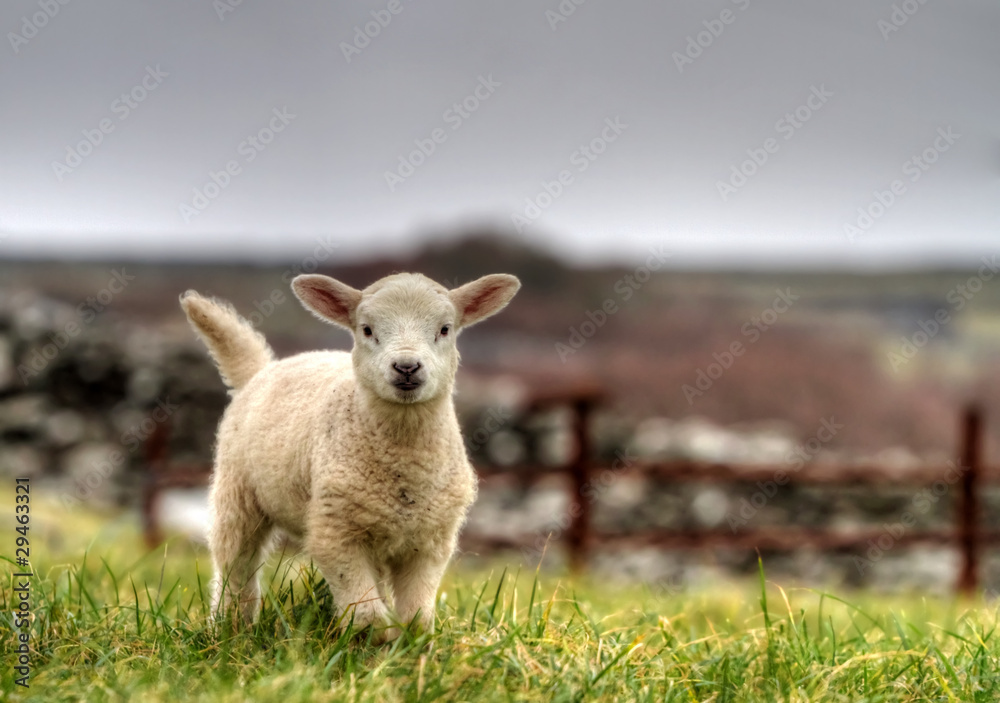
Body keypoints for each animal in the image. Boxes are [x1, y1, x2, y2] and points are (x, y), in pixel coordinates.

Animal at [179, 270, 520, 644]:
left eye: (445, 329)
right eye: (367, 329)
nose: (406, 367)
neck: (404, 466)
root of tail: (263, 369)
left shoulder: (431, 541)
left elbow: (416, 617)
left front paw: (409, 647)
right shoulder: (336, 531)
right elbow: (367, 615)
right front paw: (373, 644)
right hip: (237, 491)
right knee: (235, 563)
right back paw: (231, 629)